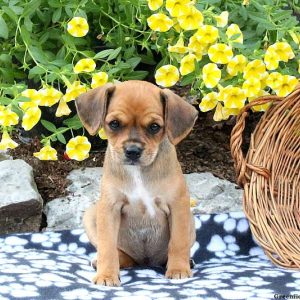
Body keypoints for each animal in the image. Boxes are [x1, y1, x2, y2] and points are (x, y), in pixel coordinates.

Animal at [75, 79, 198, 286]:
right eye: (114, 124)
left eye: (155, 127)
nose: (132, 151)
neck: (138, 172)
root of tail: (145, 262)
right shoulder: (109, 208)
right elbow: (107, 247)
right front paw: (106, 275)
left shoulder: (178, 206)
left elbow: (178, 242)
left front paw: (178, 270)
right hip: (91, 215)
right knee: (120, 255)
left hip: (191, 222)